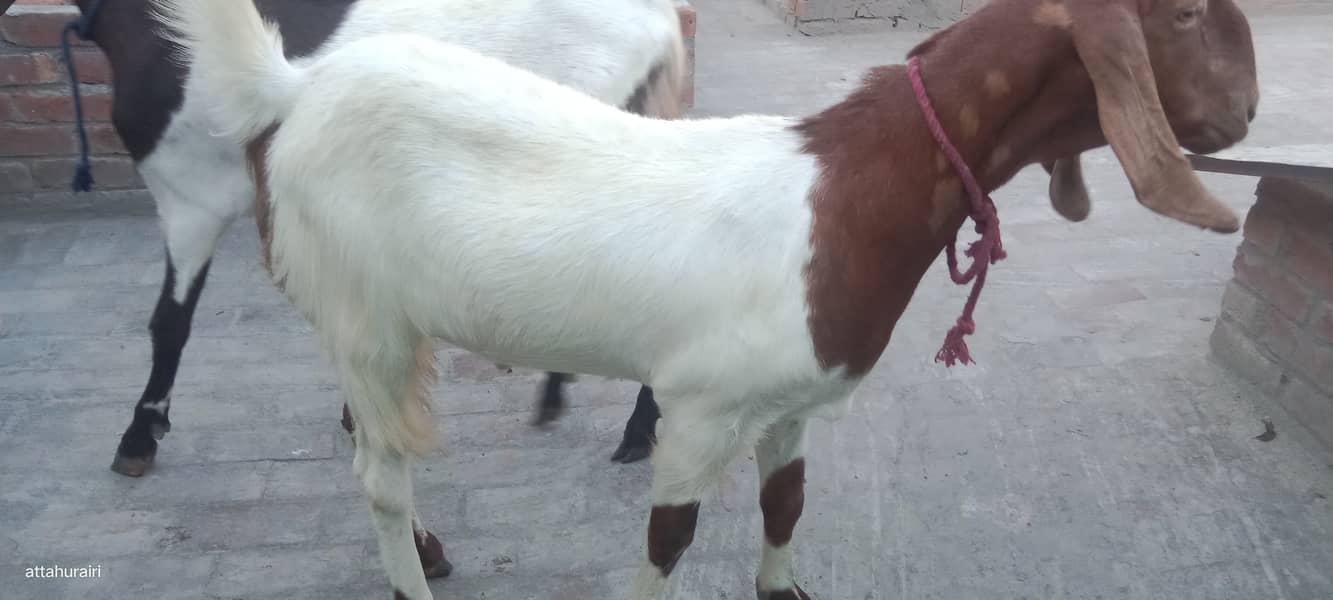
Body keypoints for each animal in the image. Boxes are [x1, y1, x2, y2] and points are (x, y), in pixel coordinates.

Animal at [154, 0, 1258, 597]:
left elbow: (786, 502)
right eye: (1183, 15)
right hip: (366, 313)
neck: (848, 189)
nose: (1244, 114)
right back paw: (412, 574)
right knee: (378, 476)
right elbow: (669, 540)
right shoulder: (699, 411)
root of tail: (295, 90)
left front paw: (784, 584)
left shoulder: (792, 405)